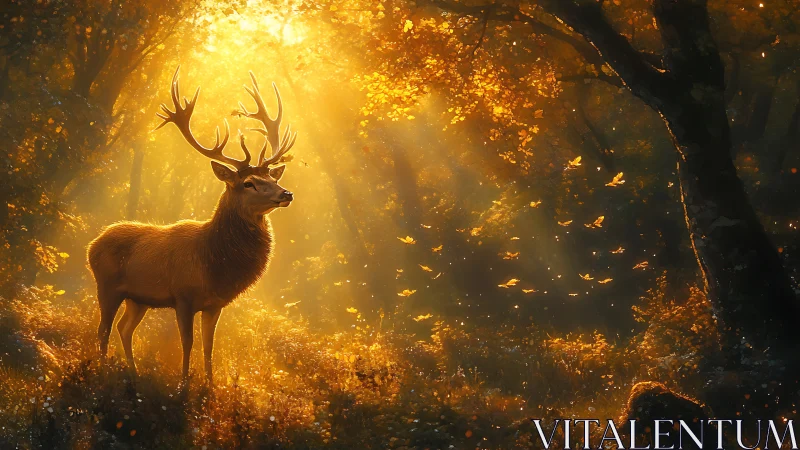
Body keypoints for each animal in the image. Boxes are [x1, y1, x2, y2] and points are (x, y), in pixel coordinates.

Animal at [87, 67, 296, 385]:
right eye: (248, 183)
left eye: (272, 178)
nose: (286, 193)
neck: (213, 262)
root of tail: (91, 245)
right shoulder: (183, 296)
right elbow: (187, 342)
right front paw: (183, 385)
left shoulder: (215, 304)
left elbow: (209, 345)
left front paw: (210, 386)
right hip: (107, 286)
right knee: (103, 330)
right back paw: (101, 372)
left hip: (138, 298)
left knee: (124, 328)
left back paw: (132, 373)